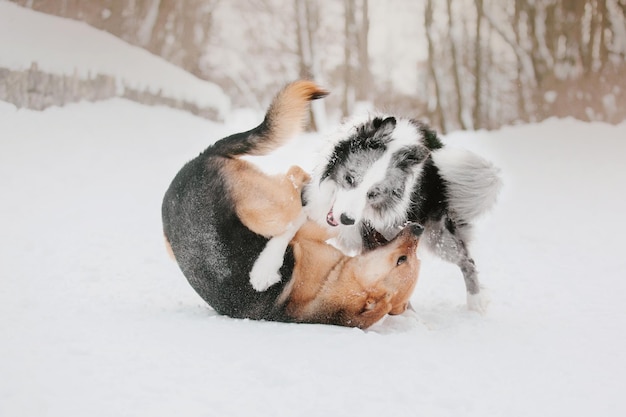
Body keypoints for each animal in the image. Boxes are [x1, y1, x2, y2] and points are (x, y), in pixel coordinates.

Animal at [300, 115, 500, 310]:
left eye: (373, 193)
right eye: (349, 178)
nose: (346, 219)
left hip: (438, 236)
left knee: (467, 261)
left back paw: (475, 304)